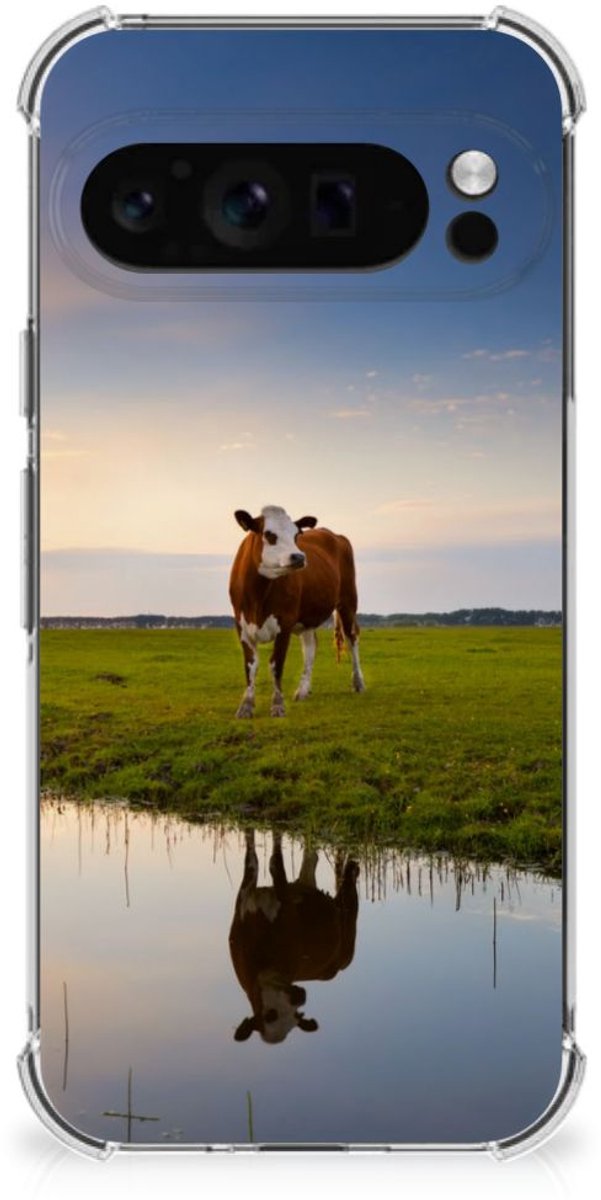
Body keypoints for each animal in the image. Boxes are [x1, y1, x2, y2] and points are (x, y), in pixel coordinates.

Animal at [229, 505, 365, 718]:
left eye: (296, 535)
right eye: (269, 534)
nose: (299, 557)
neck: (257, 596)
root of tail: (334, 534)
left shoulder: (284, 623)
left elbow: (276, 664)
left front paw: (277, 705)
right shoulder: (241, 626)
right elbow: (250, 665)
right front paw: (246, 706)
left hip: (348, 602)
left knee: (352, 638)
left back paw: (358, 682)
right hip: (308, 617)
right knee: (310, 647)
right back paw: (303, 690)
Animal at [229, 830, 359, 1044]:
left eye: (296, 1017)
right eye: (270, 1015)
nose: (300, 997)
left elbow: (275, 863)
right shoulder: (244, 897)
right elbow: (252, 858)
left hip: (348, 926)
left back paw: (352, 868)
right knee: (311, 858)